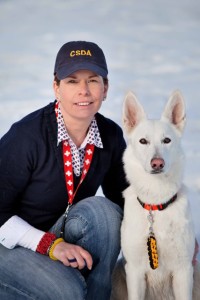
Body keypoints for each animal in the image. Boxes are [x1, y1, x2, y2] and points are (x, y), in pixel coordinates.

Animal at [111, 91, 200, 300]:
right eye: (143, 141)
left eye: (167, 140)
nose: (157, 163)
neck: (156, 203)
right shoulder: (134, 272)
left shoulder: (184, 271)